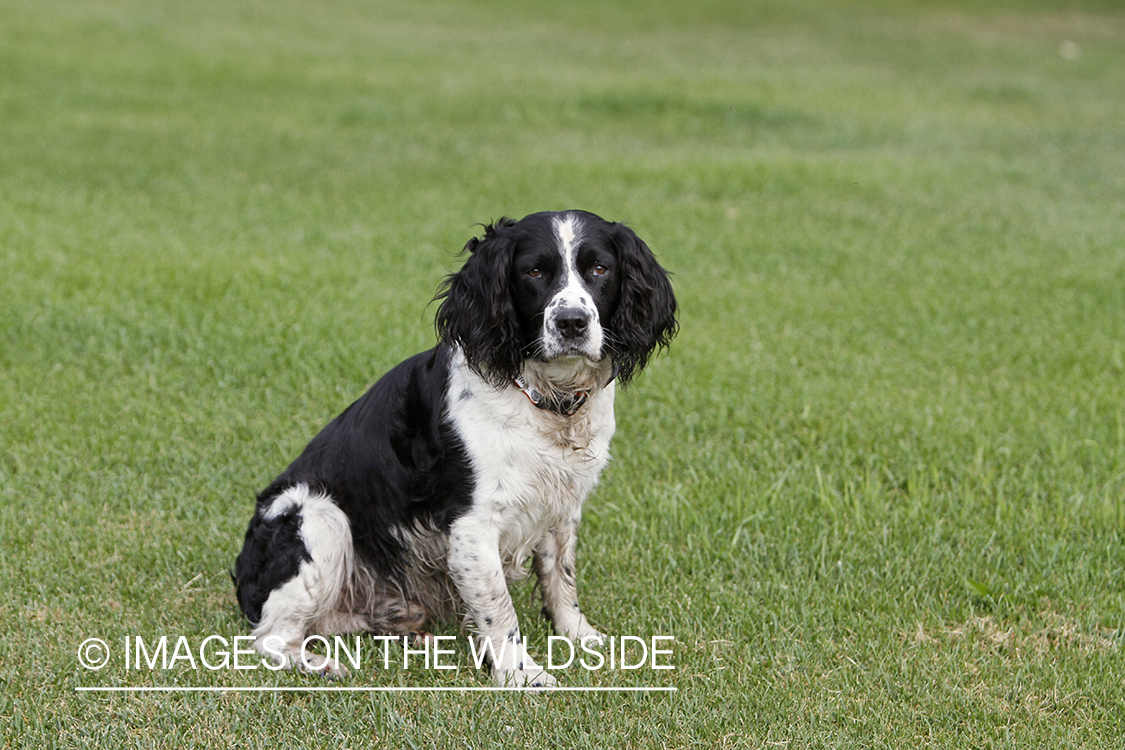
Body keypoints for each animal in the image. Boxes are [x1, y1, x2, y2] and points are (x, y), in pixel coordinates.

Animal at [232, 210, 675, 688]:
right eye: (534, 272)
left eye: (599, 268)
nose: (572, 322)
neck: (546, 400)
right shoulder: (471, 527)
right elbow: (500, 609)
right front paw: (521, 674)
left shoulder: (562, 504)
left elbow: (561, 578)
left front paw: (580, 636)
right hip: (320, 517)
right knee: (271, 637)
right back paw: (322, 663)